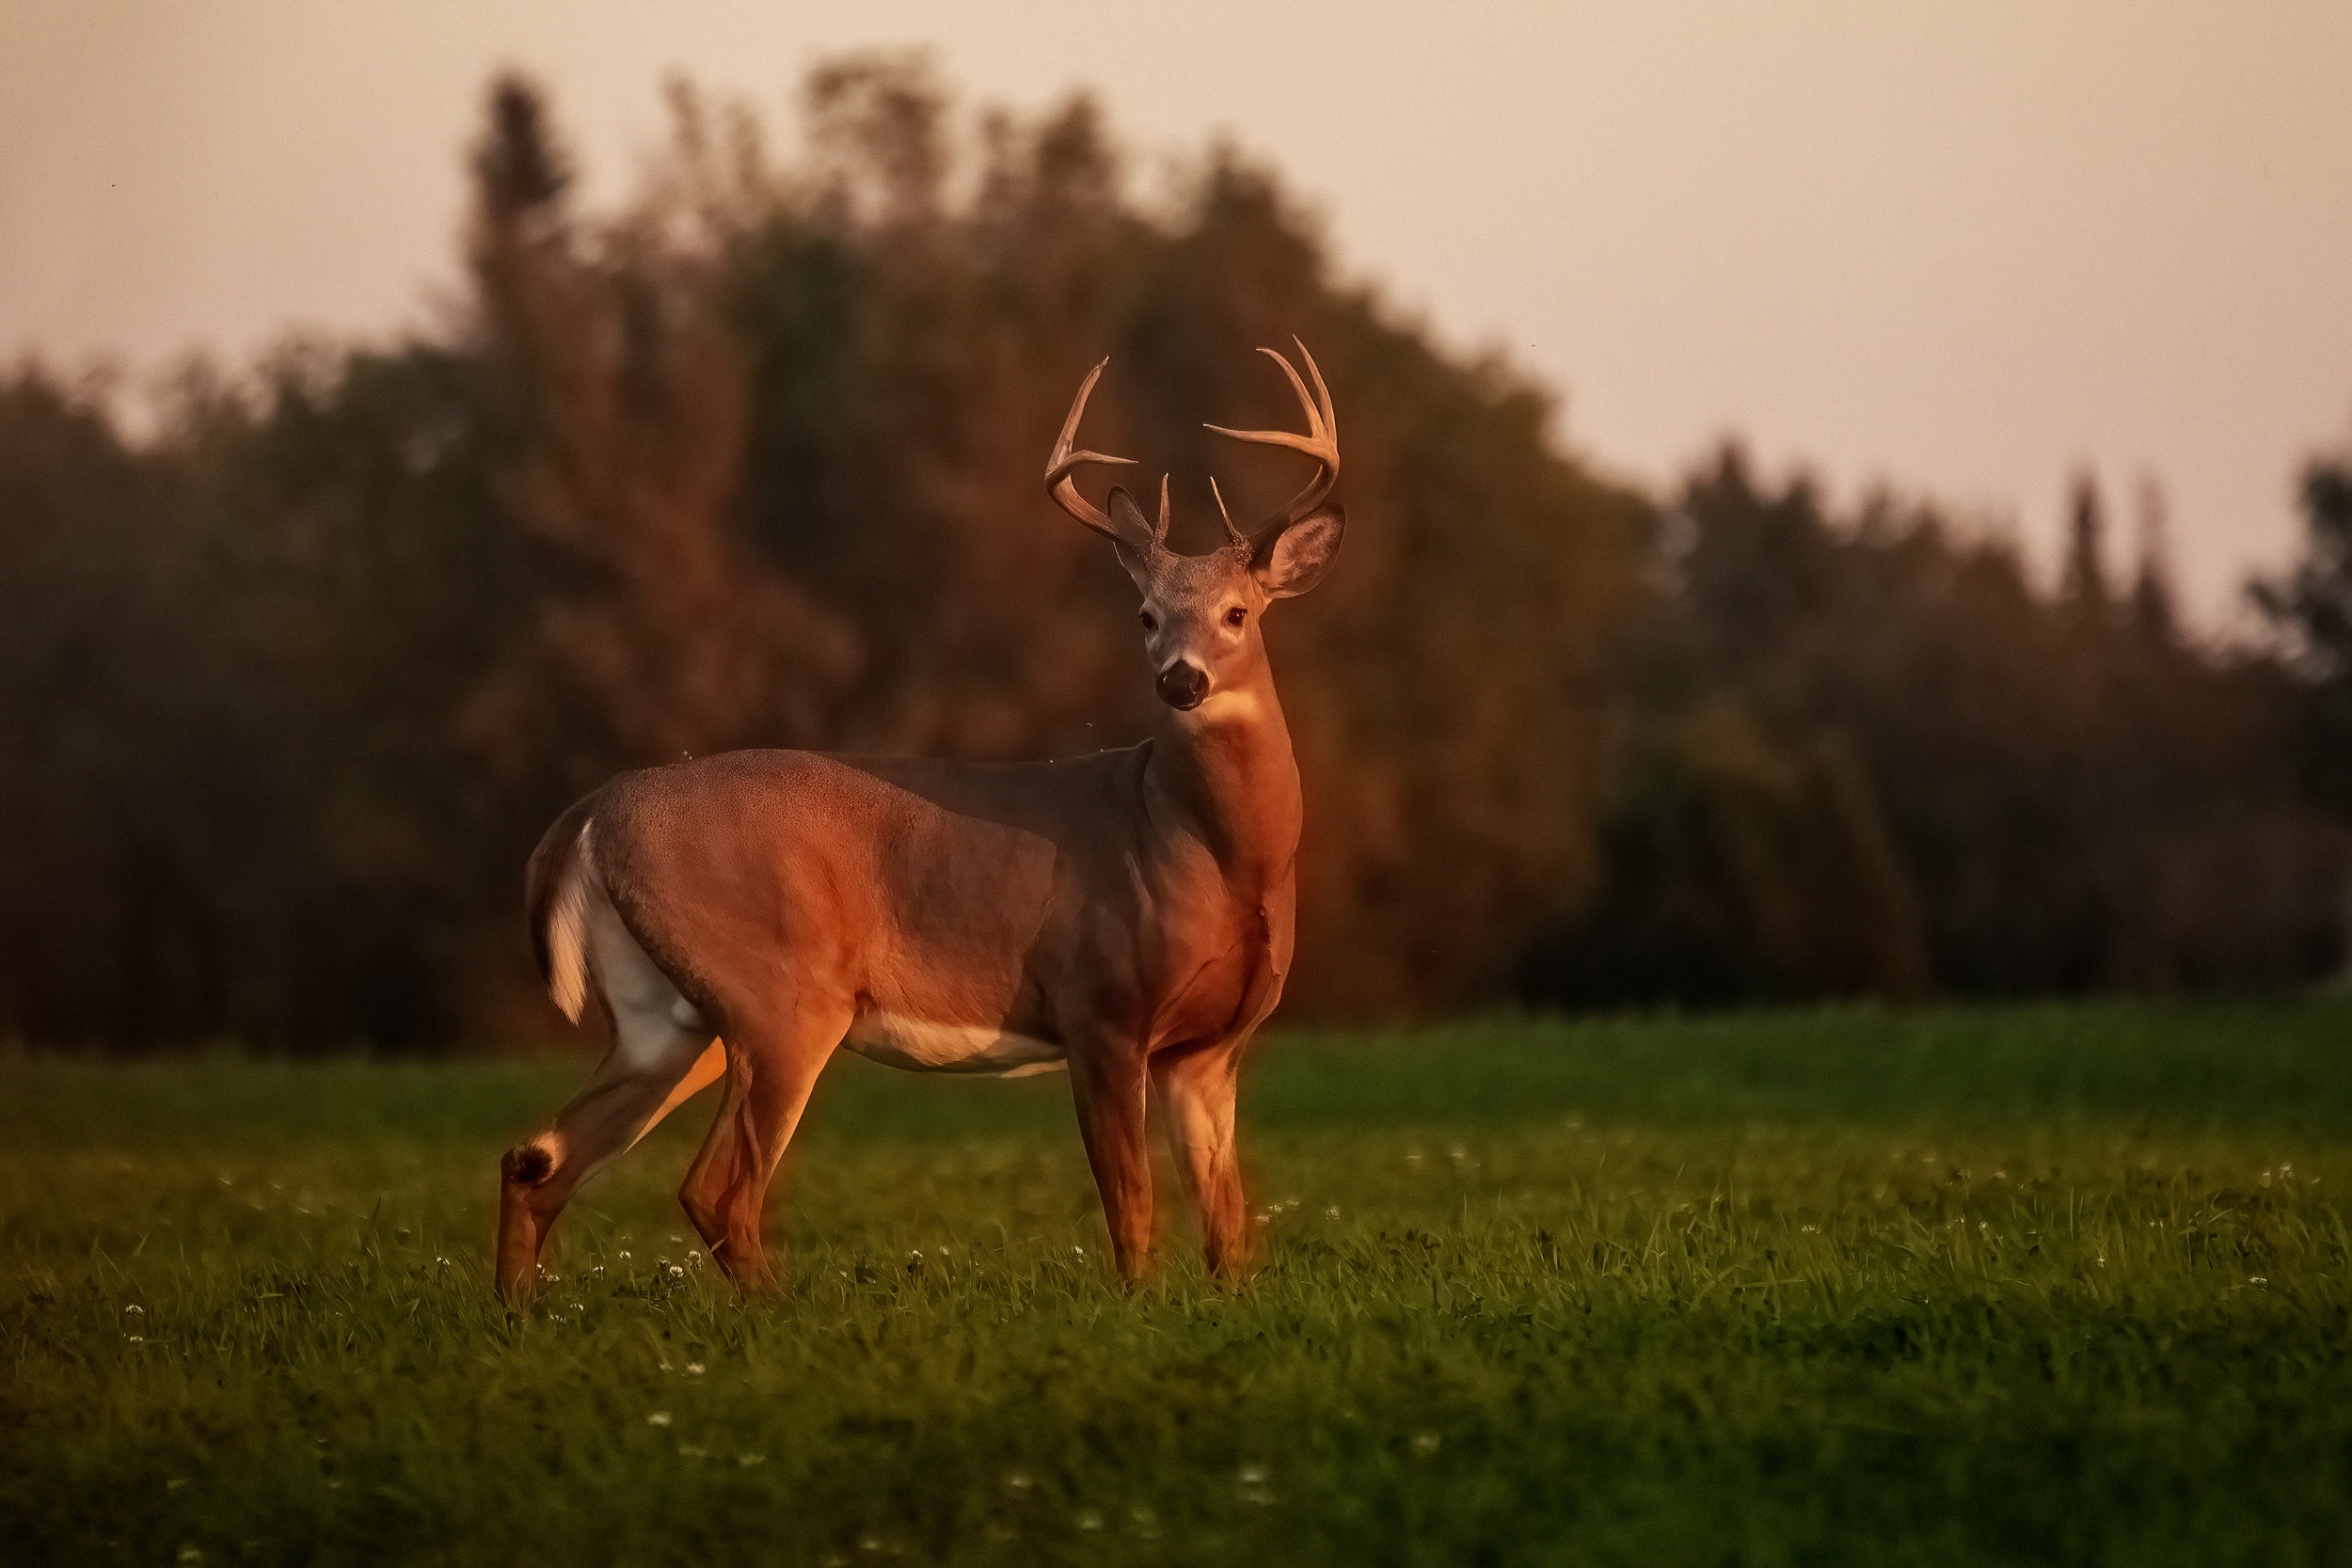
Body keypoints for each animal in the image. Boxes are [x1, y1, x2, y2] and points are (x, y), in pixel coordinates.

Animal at [494, 341, 1345, 1298]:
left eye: (1238, 611)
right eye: (1146, 616)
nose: (1182, 679)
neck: (1208, 852)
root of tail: (592, 811)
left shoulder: (1208, 1047)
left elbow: (1227, 1218)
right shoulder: (1099, 1007)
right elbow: (1131, 1205)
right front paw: (1139, 1306)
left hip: (666, 1016)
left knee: (539, 1158)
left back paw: (517, 1313)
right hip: (779, 995)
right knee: (713, 1187)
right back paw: (781, 1312)